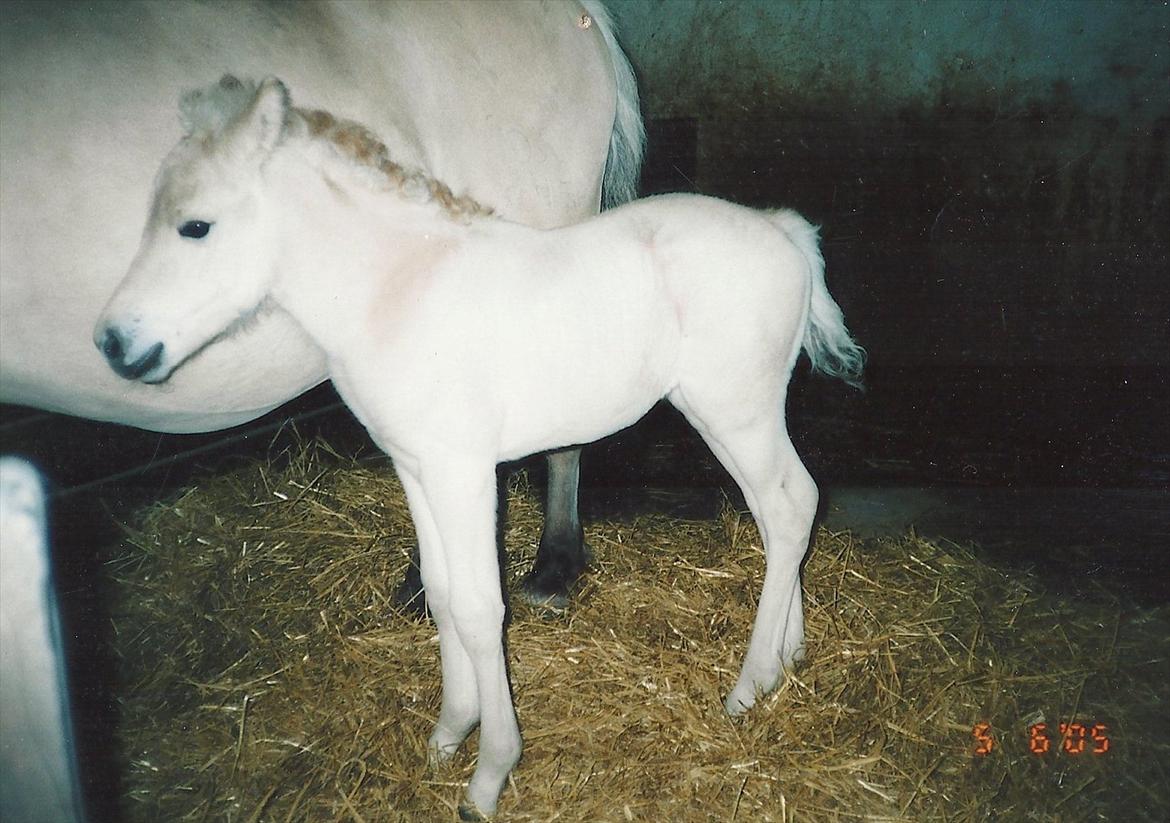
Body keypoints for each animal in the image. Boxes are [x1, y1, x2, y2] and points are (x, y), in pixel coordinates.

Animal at [95, 79, 861, 823]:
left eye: (196, 225)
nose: (115, 342)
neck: (399, 293)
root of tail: (783, 231)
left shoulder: (463, 471)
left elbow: (478, 606)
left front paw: (488, 773)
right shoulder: (416, 467)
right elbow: (440, 592)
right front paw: (447, 733)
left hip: (736, 409)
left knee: (791, 506)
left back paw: (748, 686)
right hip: (739, 412)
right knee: (780, 509)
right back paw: (785, 658)